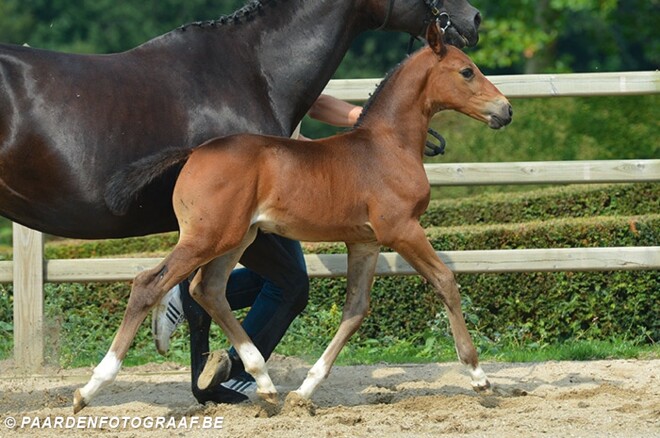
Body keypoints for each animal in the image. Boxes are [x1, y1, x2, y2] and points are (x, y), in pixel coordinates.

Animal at [0, 0, 482, 405]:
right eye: (466, 72)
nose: (473, 18)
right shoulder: (261, 231)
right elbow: (278, 290)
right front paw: (218, 380)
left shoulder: (265, 230)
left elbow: (226, 296)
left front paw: (221, 379)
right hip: (224, 234)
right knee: (165, 284)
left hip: (228, 234)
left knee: (199, 286)